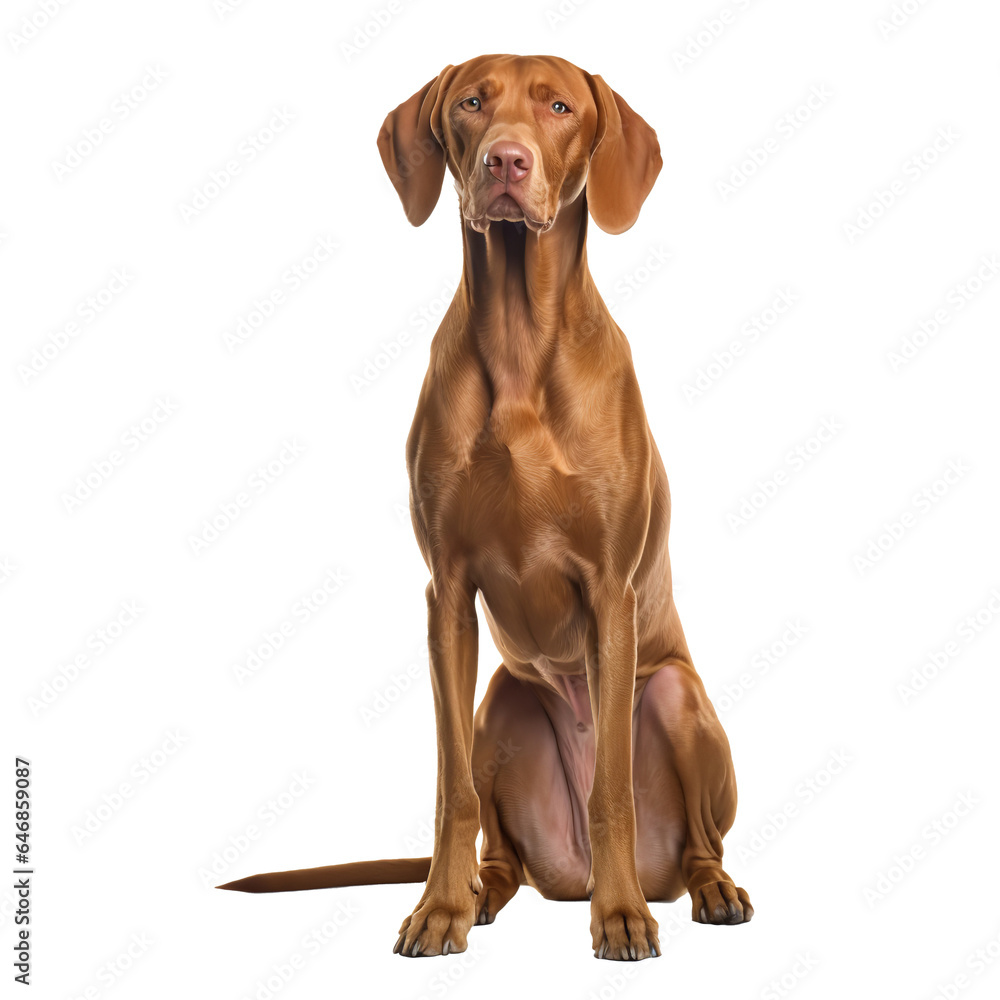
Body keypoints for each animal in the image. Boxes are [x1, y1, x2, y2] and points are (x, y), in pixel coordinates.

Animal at [219, 52, 752, 960]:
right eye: (472, 103)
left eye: (560, 107)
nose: (507, 160)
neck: (517, 337)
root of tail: (564, 877)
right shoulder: (447, 594)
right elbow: (450, 792)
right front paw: (440, 907)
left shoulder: (610, 592)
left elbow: (613, 790)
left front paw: (621, 918)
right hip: (500, 700)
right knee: (499, 850)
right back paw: (482, 894)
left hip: (677, 698)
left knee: (700, 843)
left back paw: (699, 890)